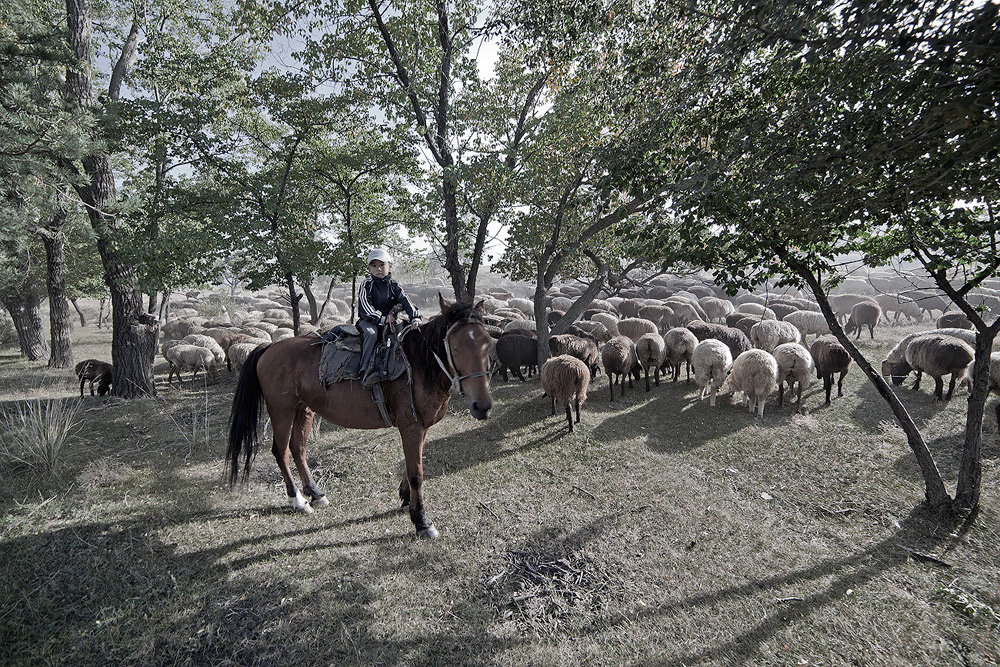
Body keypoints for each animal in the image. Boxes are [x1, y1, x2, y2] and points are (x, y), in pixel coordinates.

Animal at [226, 300, 492, 540]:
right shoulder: (411, 426)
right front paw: (422, 521)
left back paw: (315, 493)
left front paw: (406, 499)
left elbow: (410, 465)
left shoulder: (420, 427)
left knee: (297, 448)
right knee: (280, 451)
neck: (417, 365)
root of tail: (268, 347)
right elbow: (416, 473)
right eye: (455, 348)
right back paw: (298, 500)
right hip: (282, 410)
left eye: (488, 344)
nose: (483, 406)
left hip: (304, 410)